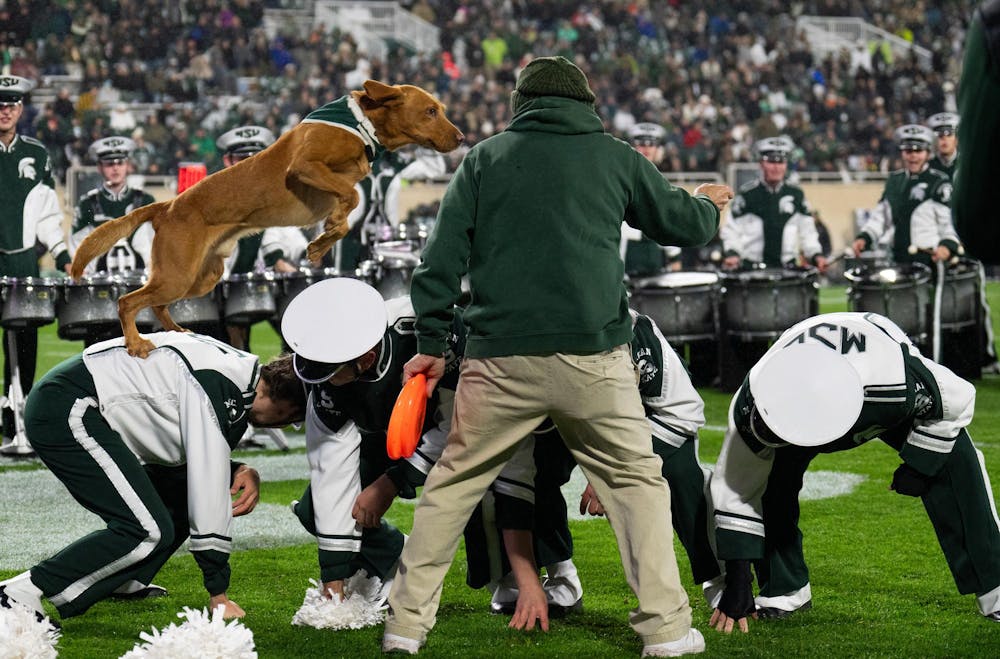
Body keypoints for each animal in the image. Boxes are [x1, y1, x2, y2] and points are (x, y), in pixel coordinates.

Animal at [73, 80, 464, 358]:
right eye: (431, 110)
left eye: (442, 110)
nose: (461, 137)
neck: (363, 122)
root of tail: (167, 206)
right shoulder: (305, 166)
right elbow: (350, 197)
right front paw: (325, 237)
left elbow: (348, 205)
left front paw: (325, 237)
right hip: (176, 274)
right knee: (128, 301)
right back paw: (136, 344)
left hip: (200, 277)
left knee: (155, 303)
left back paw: (178, 332)